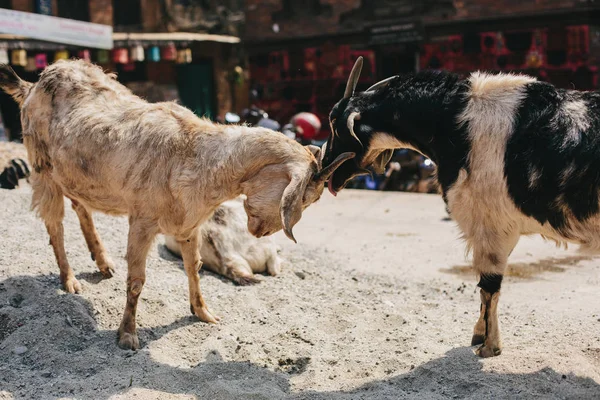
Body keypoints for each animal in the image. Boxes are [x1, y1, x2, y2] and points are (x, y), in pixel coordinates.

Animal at [0, 60, 352, 350]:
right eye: (306, 196)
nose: (264, 232)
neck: (194, 153)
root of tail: (32, 85)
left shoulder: (189, 224)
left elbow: (193, 267)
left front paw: (203, 312)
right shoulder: (142, 220)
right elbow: (137, 281)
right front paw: (127, 335)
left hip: (72, 172)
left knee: (80, 206)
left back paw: (103, 262)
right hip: (42, 166)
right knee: (55, 222)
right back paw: (69, 279)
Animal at [324, 55, 600, 356]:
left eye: (335, 125)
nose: (325, 170)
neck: (456, 122)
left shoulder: (490, 226)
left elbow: (489, 286)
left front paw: (489, 346)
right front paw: (480, 337)